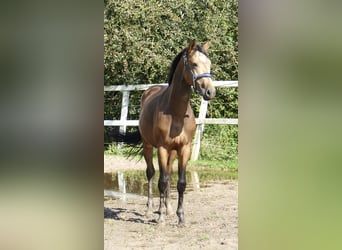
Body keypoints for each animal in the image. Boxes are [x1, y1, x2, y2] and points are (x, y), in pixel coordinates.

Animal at [120, 39, 215, 225]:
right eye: (194, 64)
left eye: (209, 64)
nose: (210, 92)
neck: (176, 113)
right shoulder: (162, 148)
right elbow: (162, 182)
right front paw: (161, 219)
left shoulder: (185, 149)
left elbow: (180, 183)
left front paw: (180, 217)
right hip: (149, 146)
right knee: (151, 174)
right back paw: (150, 209)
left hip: (172, 152)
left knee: (168, 174)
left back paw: (167, 208)